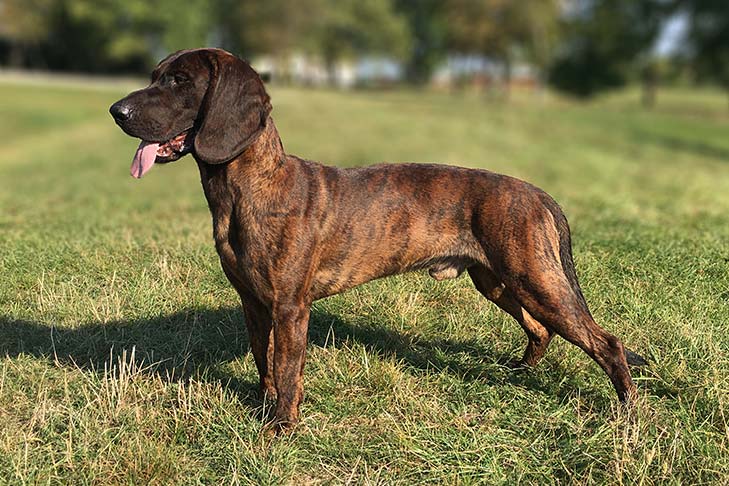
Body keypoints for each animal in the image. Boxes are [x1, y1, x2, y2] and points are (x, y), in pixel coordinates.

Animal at [108, 47, 644, 430]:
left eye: (180, 81)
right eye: (155, 75)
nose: (117, 110)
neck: (250, 187)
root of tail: (537, 193)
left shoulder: (289, 307)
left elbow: (287, 368)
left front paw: (281, 427)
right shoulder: (253, 304)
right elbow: (264, 364)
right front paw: (264, 407)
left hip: (536, 281)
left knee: (607, 342)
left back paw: (627, 412)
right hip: (498, 282)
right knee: (541, 331)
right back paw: (520, 373)